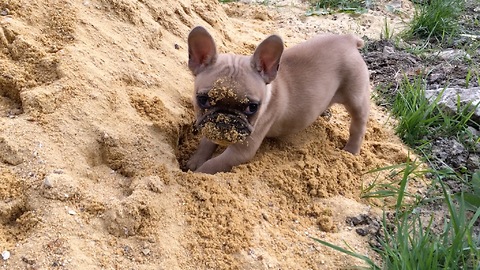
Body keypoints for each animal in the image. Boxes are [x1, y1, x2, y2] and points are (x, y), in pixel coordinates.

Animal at [186, 26, 370, 174]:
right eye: (203, 100)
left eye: (252, 107)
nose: (225, 118)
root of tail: (348, 39)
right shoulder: (208, 125)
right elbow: (205, 144)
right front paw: (194, 161)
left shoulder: (240, 151)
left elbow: (213, 164)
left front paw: (197, 175)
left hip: (355, 97)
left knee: (358, 125)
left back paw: (351, 151)